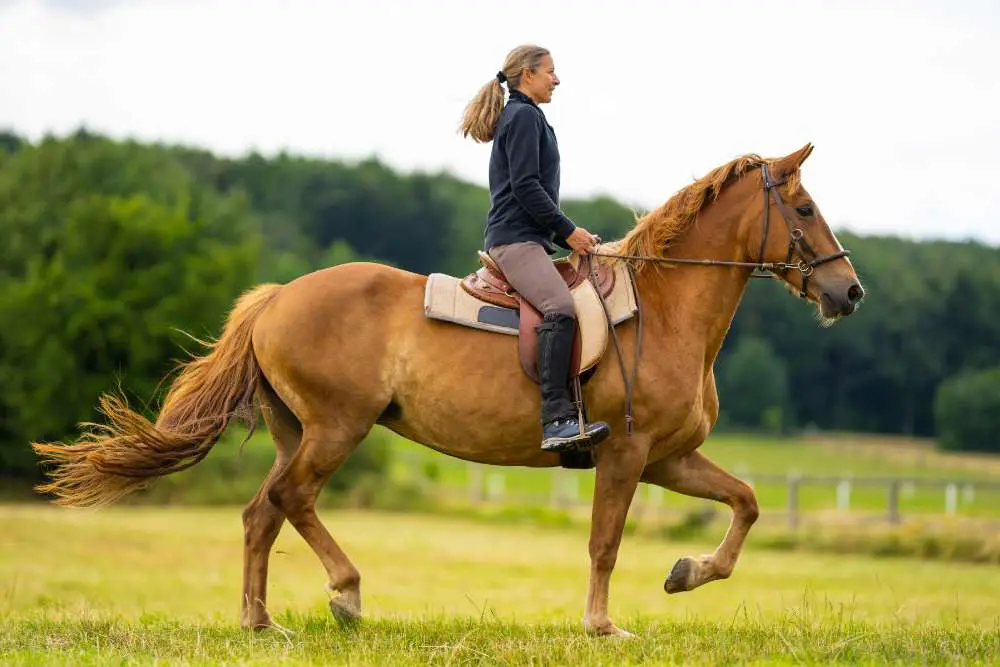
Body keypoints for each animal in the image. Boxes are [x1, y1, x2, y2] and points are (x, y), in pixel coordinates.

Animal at [31, 142, 860, 636]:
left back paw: (261, 622)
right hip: (336, 427)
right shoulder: (627, 456)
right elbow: (605, 541)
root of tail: (276, 298)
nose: (849, 291)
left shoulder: (669, 458)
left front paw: (687, 573)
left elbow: (746, 500)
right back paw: (346, 593)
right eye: (806, 209)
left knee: (260, 511)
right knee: (290, 500)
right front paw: (602, 625)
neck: (663, 307)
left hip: (298, 430)